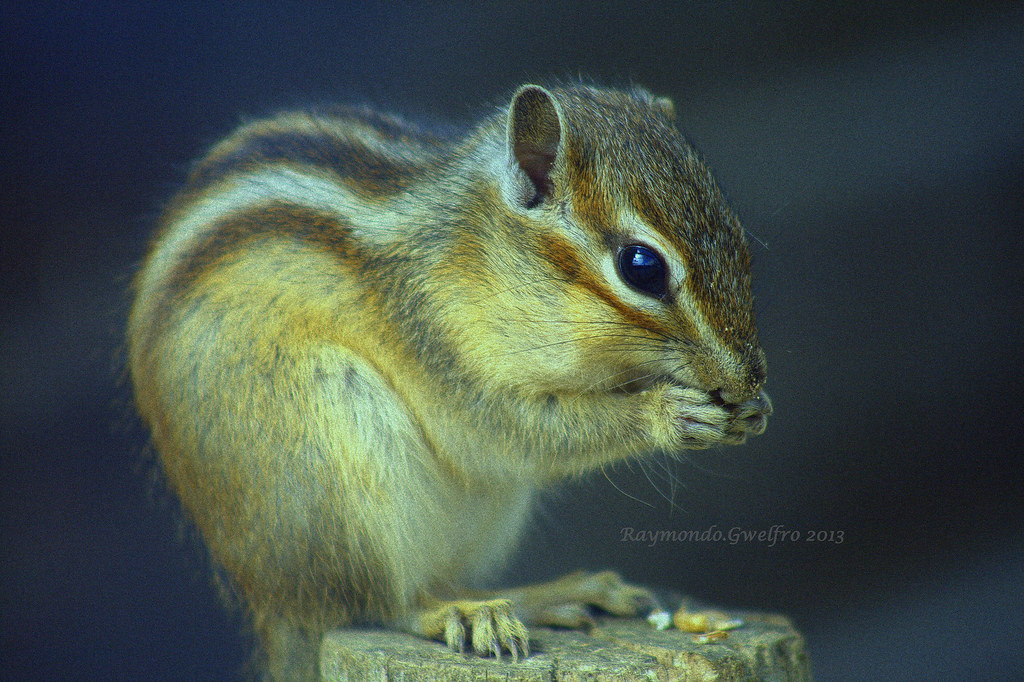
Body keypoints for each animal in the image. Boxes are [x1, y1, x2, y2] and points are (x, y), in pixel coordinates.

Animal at [128, 82, 771, 680]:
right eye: (642, 266)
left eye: (739, 240)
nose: (746, 376)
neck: (476, 251)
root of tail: (273, 603)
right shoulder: (432, 338)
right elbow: (508, 434)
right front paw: (669, 412)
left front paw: (754, 409)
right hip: (329, 456)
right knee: (374, 604)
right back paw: (457, 613)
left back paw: (544, 595)